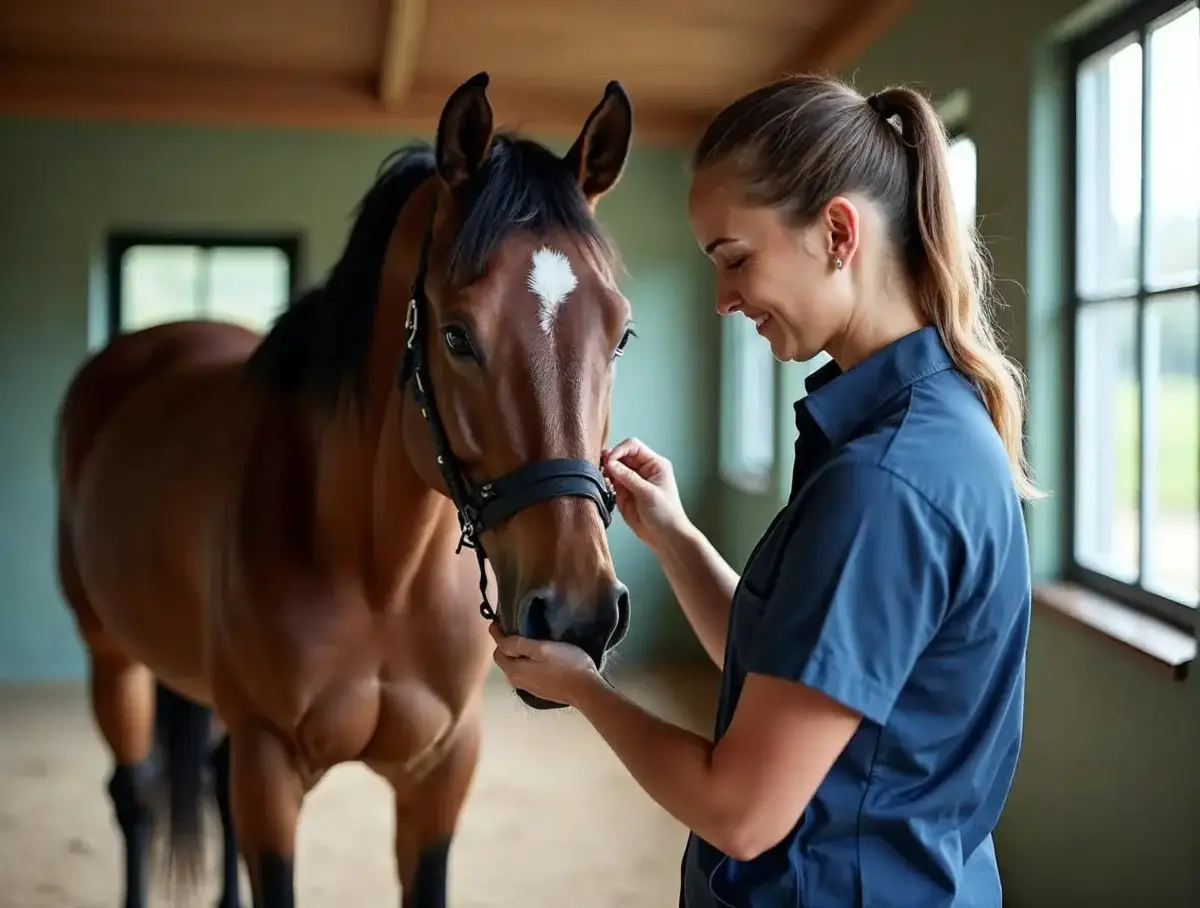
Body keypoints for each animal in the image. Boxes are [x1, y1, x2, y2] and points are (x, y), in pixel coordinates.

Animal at [53, 71, 637, 908]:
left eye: (620, 334)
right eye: (457, 336)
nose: (577, 615)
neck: (378, 573)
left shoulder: (441, 772)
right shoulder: (269, 770)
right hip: (111, 655)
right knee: (135, 793)